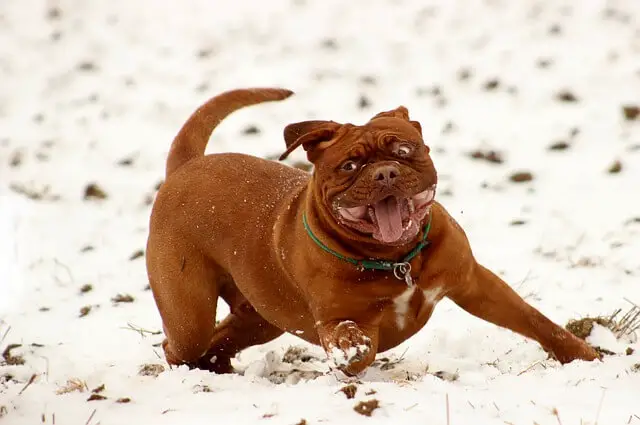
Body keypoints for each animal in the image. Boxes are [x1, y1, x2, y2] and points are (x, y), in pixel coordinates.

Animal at [146, 87, 600, 374]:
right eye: (350, 165)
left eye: (403, 150)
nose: (384, 173)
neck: (398, 260)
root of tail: (187, 166)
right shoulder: (336, 318)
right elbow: (352, 338)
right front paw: (353, 352)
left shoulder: (476, 285)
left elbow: (535, 320)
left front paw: (585, 356)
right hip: (189, 313)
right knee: (183, 342)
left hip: (260, 318)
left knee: (223, 338)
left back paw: (216, 368)